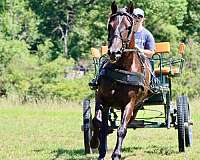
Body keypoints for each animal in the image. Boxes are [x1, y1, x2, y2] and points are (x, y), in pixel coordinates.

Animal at [91, 1, 152, 160]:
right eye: (109, 25)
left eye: (128, 27)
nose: (114, 52)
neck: (121, 69)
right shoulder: (101, 97)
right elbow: (97, 122)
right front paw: (95, 144)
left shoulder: (129, 103)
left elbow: (122, 129)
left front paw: (116, 154)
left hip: (136, 106)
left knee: (127, 124)